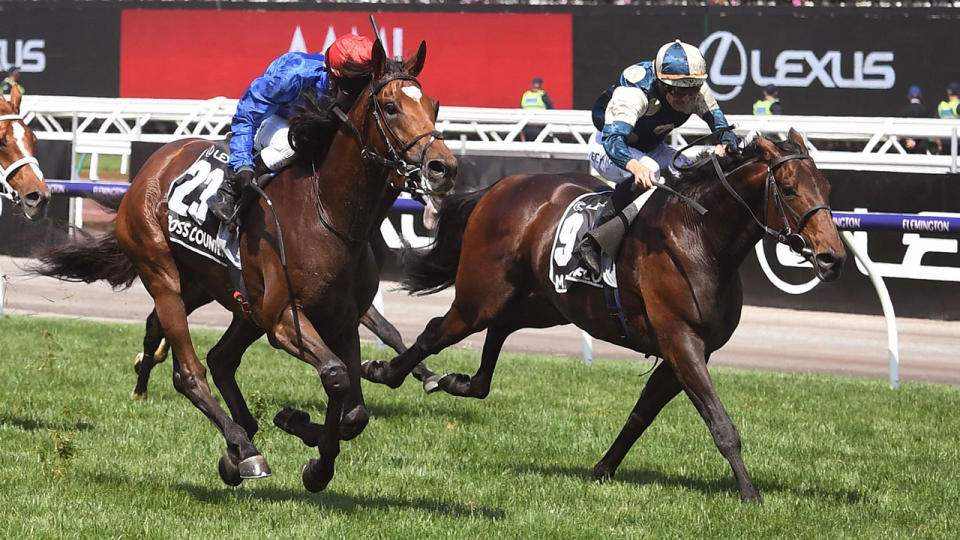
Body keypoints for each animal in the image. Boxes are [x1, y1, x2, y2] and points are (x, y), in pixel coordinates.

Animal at [35, 40, 456, 492]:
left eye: (433, 105)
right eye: (390, 106)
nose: (443, 168)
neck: (327, 216)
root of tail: (153, 163)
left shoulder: (341, 319)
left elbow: (356, 409)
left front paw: (303, 434)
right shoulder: (284, 319)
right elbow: (336, 375)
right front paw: (309, 452)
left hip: (227, 297)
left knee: (220, 358)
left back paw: (238, 445)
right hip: (164, 276)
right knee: (190, 371)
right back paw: (244, 448)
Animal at [364, 131, 844, 502]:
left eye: (826, 187)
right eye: (788, 189)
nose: (832, 257)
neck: (699, 237)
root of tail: (502, 186)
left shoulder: (686, 351)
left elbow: (641, 415)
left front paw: (602, 469)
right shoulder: (681, 340)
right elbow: (721, 424)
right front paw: (749, 493)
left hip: (543, 303)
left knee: (496, 337)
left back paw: (455, 381)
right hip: (481, 295)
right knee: (435, 332)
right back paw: (386, 371)